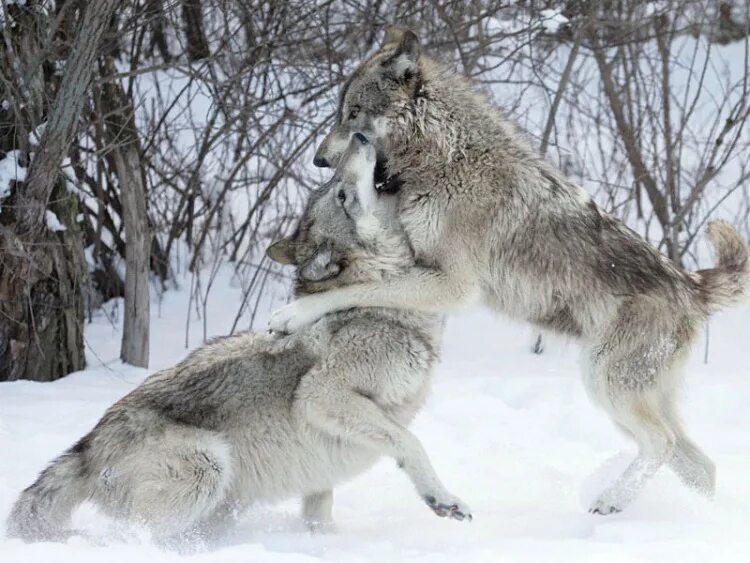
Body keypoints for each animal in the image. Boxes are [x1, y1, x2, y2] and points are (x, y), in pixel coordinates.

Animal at [7, 135, 470, 548]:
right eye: (340, 193)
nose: (359, 135)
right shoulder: (321, 395)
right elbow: (411, 442)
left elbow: (318, 518)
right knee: (135, 539)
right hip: (208, 467)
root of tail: (87, 447)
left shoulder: (320, 475)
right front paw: (443, 499)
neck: (381, 304)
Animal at [270, 29, 750, 516]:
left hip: (606, 385)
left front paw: (291, 314)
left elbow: (358, 288)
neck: (445, 157)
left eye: (354, 115)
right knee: (700, 464)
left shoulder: (453, 287)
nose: (319, 160)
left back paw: (610, 501)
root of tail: (691, 285)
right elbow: (365, 281)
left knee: (663, 443)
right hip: (627, 395)